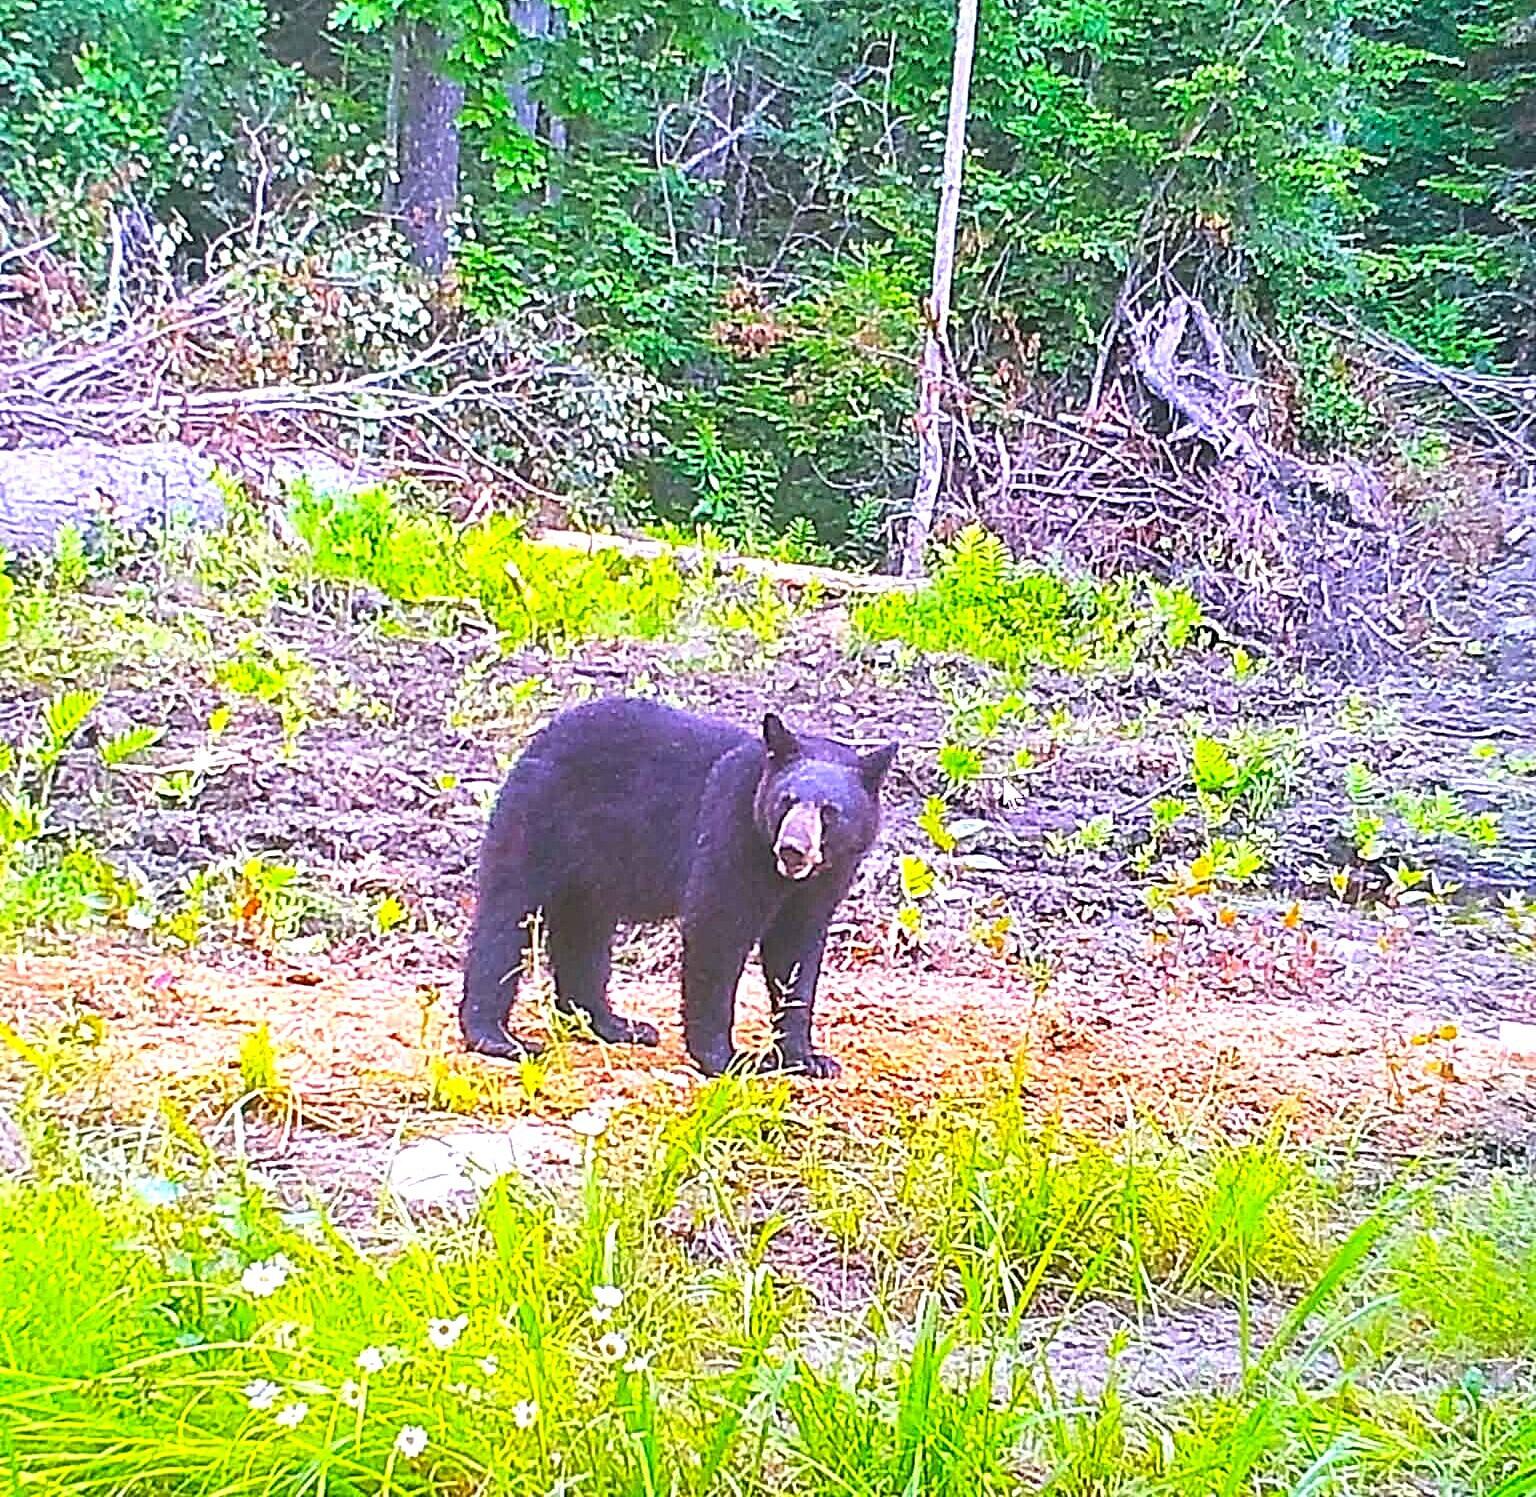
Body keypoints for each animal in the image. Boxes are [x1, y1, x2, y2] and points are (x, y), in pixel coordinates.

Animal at [461, 696, 896, 1078]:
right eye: (786, 800)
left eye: (830, 811)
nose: (792, 849)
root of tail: (538, 740)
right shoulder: (729, 832)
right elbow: (716, 932)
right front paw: (728, 1059)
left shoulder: (824, 882)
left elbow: (796, 954)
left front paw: (807, 1058)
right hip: (537, 820)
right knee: (506, 916)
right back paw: (497, 1038)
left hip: (592, 866)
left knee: (584, 934)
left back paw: (611, 1024)